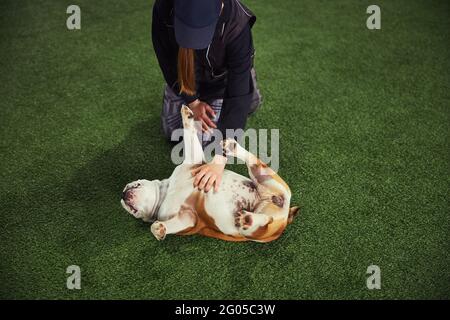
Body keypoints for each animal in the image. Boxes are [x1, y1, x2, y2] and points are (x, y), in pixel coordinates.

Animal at [119, 106, 298, 241]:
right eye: (132, 211)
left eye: (134, 183)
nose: (122, 195)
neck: (167, 191)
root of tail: (287, 215)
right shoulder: (188, 218)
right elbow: (160, 225)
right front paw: (159, 229)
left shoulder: (193, 160)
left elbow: (189, 135)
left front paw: (187, 114)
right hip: (255, 227)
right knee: (265, 221)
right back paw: (247, 219)